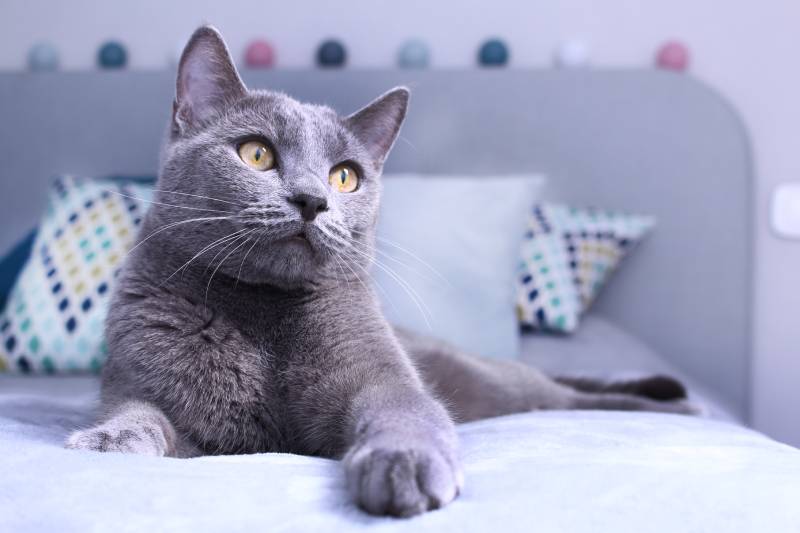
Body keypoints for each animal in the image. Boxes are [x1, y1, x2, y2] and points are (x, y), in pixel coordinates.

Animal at [65, 26, 696, 516]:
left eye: (345, 176)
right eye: (256, 154)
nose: (312, 200)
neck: (261, 311)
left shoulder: (380, 372)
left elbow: (404, 410)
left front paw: (406, 466)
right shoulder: (148, 385)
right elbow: (140, 412)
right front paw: (108, 440)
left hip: (494, 380)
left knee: (564, 395)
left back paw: (679, 407)